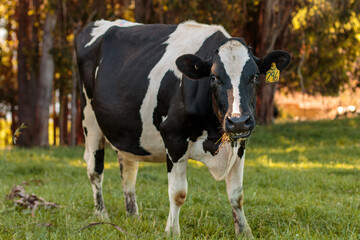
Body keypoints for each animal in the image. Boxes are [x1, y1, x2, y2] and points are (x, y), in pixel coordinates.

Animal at [75, 19, 290, 238]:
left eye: (254, 76)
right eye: (214, 77)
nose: (238, 120)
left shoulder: (240, 143)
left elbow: (236, 194)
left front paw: (244, 232)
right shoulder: (173, 138)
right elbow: (178, 193)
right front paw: (172, 231)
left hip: (127, 131)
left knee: (128, 170)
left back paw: (133, 216)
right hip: (90, 119)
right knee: (95, 170)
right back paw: (101, 215)